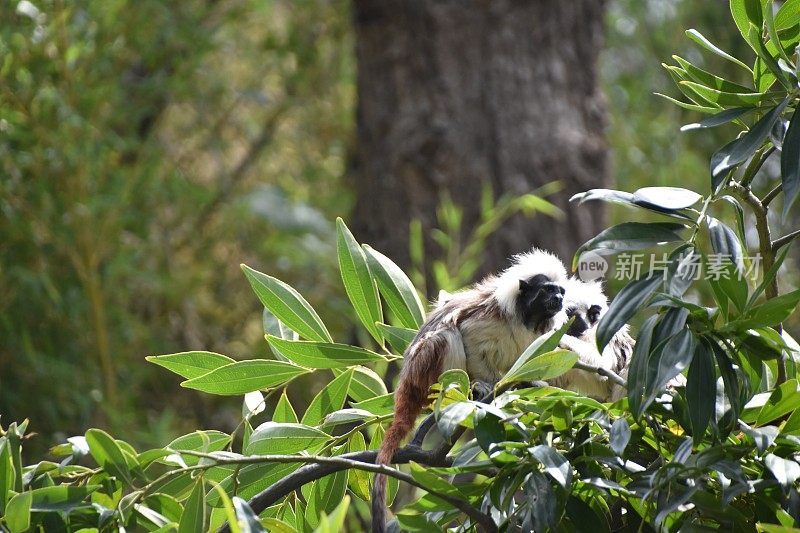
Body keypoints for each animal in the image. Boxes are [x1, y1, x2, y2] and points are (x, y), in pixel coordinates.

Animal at [374, 249, 568, 532]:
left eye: (561, 292)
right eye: (548, 290)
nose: (558, 299)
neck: (527, 319)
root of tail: (407, 381)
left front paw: (528, 385)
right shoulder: (490, 318)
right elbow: (470, 338)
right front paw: (484, 386)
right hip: (424, 368)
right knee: (447, 334)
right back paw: (454, 395)